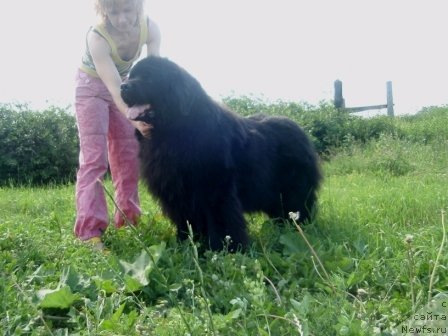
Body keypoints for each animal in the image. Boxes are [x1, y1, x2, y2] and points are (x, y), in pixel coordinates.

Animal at [121, 57, 320, 251]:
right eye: (131, 76)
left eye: (149, 78)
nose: (123, 86)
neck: (174, 129)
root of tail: (299, 129)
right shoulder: (176, 193)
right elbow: (185, 221)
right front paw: (186, 245)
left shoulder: (215, 189)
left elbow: (222, 221)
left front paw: (226, 250)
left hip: (293, 189)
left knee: (298, 207)